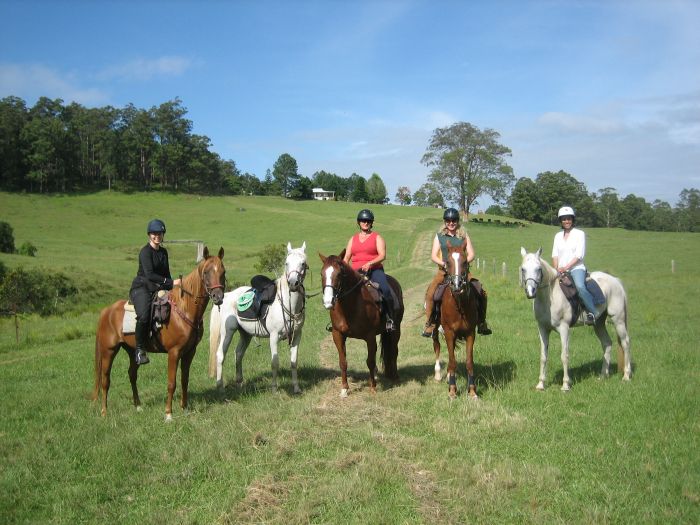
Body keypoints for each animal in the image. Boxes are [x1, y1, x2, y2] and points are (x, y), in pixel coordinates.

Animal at [91, 246, 226, 418]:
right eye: (207, 272)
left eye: (223, 271)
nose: (218, 297)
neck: (184, 309)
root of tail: (106, 312)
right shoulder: (174, 352)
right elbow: (171, 383)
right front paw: (168, 413)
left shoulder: (189, 352)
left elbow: (184, 380)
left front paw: (184, 408)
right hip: (109, 351)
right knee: (105, 380)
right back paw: (104, 412)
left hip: (132, 351)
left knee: (132, 375)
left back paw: (138, 406)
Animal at [208, 242, 306, 392]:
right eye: (286, 263)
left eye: (303, 263)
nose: (293, 283)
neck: (287, 304)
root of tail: (226, 296)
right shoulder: (274, 336)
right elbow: (274, 362)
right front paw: (274, 389)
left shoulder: (297, 336)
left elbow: (294, 362)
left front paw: (296, 388)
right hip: (227, 332)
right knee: (220, 355)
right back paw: (220, 387)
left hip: (245, 334)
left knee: (238, 353)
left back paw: (239, 382)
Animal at [318, 252, 402, 396]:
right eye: (322, 273)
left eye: (339, 274)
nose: (328, 301)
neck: (352, 304)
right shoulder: (337, 335)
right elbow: (343, 362)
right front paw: (344, 389)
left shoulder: (370, 336)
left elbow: (370, 361)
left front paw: (373, 387)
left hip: (396, 330)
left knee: (394, 350)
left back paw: (395, 376)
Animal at [430, 239, 478, 400]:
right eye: (448, 262)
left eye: (465, 261)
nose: (457, 285)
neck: (459, 304)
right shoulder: (449, 333)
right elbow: (452, 361)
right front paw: (452, 390)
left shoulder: (470, 333)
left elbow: (469, 362)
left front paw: (472, 391)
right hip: (436, 331)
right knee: (437, 347)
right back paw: (439, 375)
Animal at [516, 248, 632, 390]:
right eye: (523, 269)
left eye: (538, 269)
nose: (530, 292)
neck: (550, 298)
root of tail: (616, 281)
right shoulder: (543, 329)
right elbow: (543, 356)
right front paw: (541, 384)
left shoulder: (564, 328)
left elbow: (564, 356)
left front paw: (566, 385)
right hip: (598, 324)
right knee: (607, 343)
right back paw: (603, 375)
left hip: (618, 320)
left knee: (625, 343)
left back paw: (626, 376)